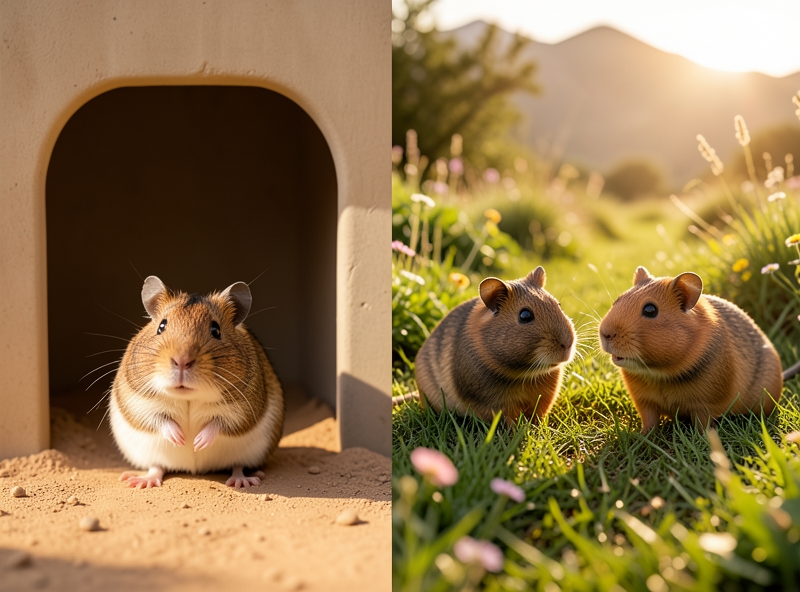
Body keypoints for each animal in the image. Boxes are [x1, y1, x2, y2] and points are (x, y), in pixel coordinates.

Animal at [109, 276, 285, 489]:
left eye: (216, 330)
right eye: (161, 326)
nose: (182, 361)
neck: (188, 396)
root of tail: (195, 471)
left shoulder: (243, 410)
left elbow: (218, 423)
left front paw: (197, 443)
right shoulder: (138, 401)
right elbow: (159, 419)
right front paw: (181, 439)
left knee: (238, 465)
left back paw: (241, 481)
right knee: (156, 467)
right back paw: (142, 481)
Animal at [413, 267, 576, 424]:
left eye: (559, 305)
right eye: (525, 315)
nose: (568, 344)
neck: (524, 375)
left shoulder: (544, 397)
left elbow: (538, 415)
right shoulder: (493, 405)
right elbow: (508, 422)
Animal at [599, 266, 783, 433]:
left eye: (650, 310)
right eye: (618, 300)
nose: (605, 333)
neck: (658, 373)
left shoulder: (705, 404)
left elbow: (703, 425)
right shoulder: (644, 401)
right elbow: (649, 422)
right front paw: (644, 436)